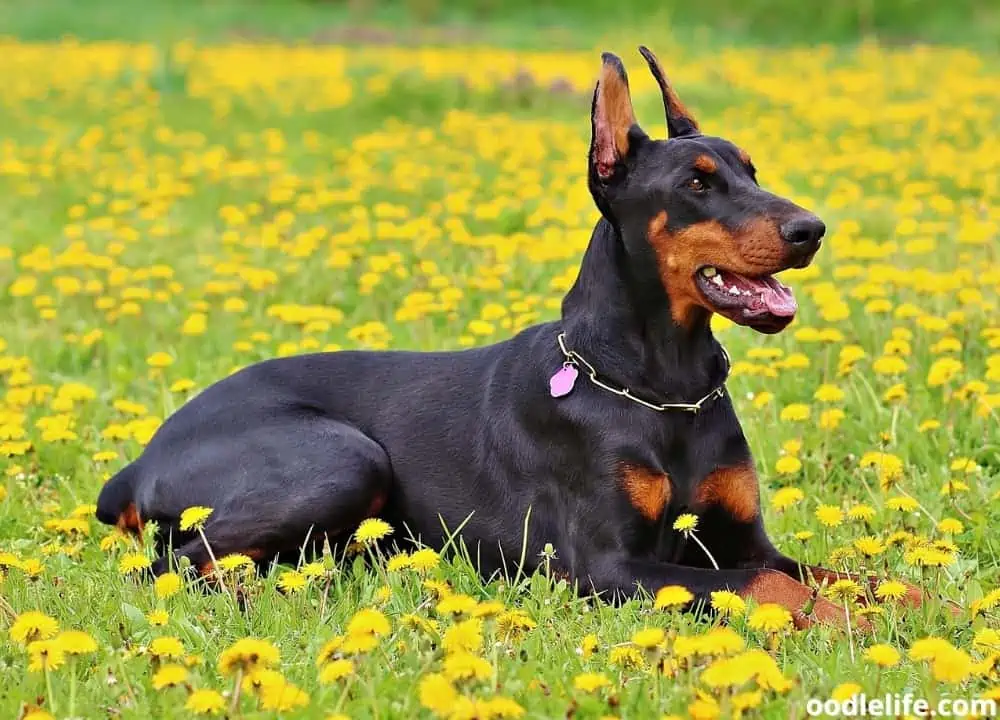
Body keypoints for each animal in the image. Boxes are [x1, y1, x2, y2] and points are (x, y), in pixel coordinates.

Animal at [95, 47, 920, 628]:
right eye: (697, 183)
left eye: (752, 170)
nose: (811, 230)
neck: (662, 386)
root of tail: (139, 462)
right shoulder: (608, 566)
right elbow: (768, 585)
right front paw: (849, 626)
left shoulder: (741, 537)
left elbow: (853, 574)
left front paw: (920, 608)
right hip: (341, 458)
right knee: (171, 565)